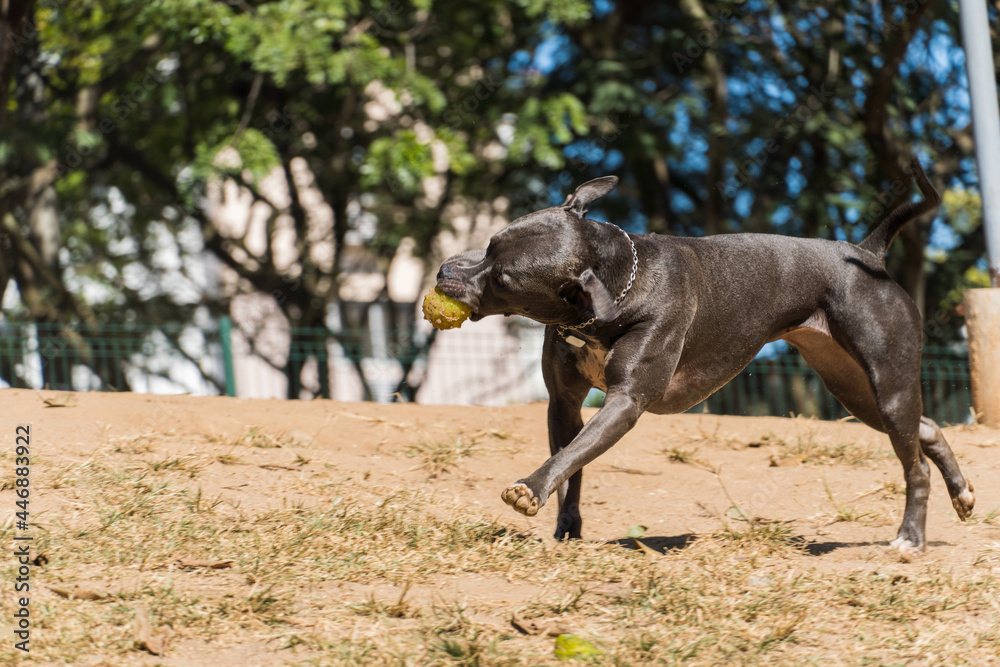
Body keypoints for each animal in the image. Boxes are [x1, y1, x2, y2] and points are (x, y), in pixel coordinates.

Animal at [434, 157, 972, 552]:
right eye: (490, 242)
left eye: (503, 278)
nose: (443, 272)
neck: (619, 281)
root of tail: (867, 253)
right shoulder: (563, 403)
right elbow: (573, 465)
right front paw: (566, 529)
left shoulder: (625, 402)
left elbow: (572, 454)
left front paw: (529, 489)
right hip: (854, 389)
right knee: (926, 428)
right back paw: (961, 493)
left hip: (886, 382)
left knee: (915, 464)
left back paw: (910, 538)